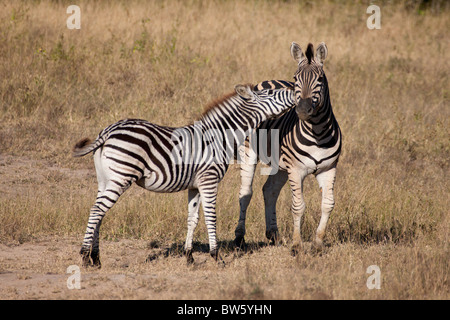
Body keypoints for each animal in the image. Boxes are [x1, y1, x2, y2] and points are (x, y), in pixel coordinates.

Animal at [73, 83, 296, 268]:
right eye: (269, 93)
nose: (294, 91)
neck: (219, 137)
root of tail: (108, 131)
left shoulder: (194, 185)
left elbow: (192, 219)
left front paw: (189, 257)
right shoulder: (209, 180)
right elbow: (211, 217)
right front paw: (216, 256)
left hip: (105, 179)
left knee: (99, 213)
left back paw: (96, 258)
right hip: (120, 177)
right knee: (96, 211)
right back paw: (84, 257)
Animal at [236, 42, 342, 254]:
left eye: (320, 79)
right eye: (295, 78)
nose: (302, 110)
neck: (318, 132)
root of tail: (267, 81)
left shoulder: (328, 169)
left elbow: (328, 204)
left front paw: (318, 243)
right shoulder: (296, 170)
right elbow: (298, 206)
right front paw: (297, 245)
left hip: (281, 165)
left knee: (269, 190)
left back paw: (273, 234)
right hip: (249, 153)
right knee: (245, 193)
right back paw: (240, 237)